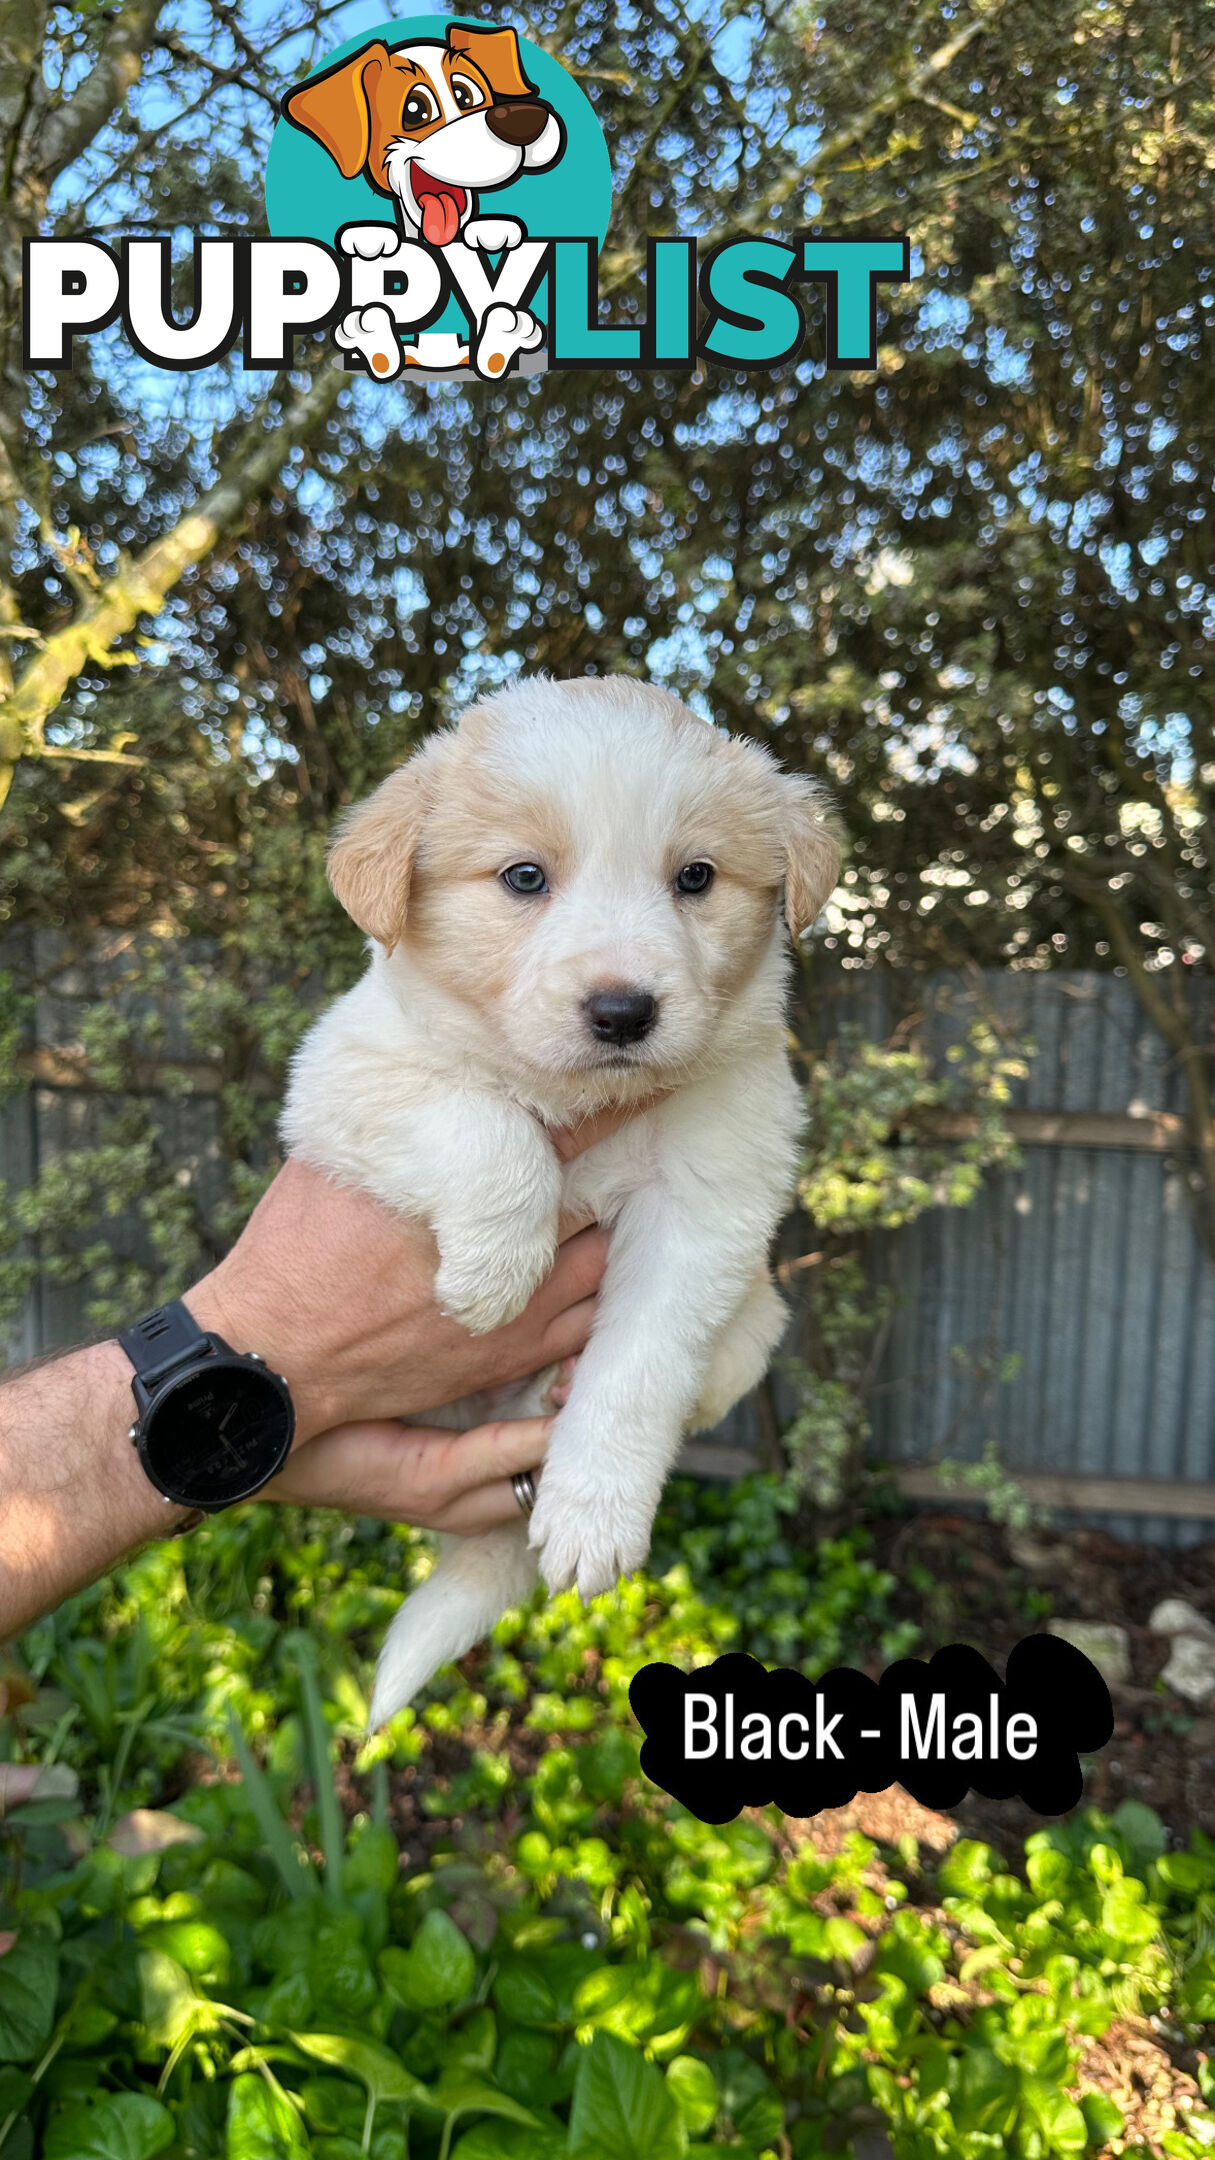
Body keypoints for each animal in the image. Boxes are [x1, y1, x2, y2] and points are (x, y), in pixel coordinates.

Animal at [281, 673, 838, 1719]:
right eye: (524, 878)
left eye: (695, 878)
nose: (623, 1012)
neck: (590, 1105)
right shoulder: (348, 1080)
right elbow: (488, 1127)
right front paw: (496, 1276)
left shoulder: (707, 1204)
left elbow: (638, 1368)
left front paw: (594, 1515)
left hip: (758, 1319)